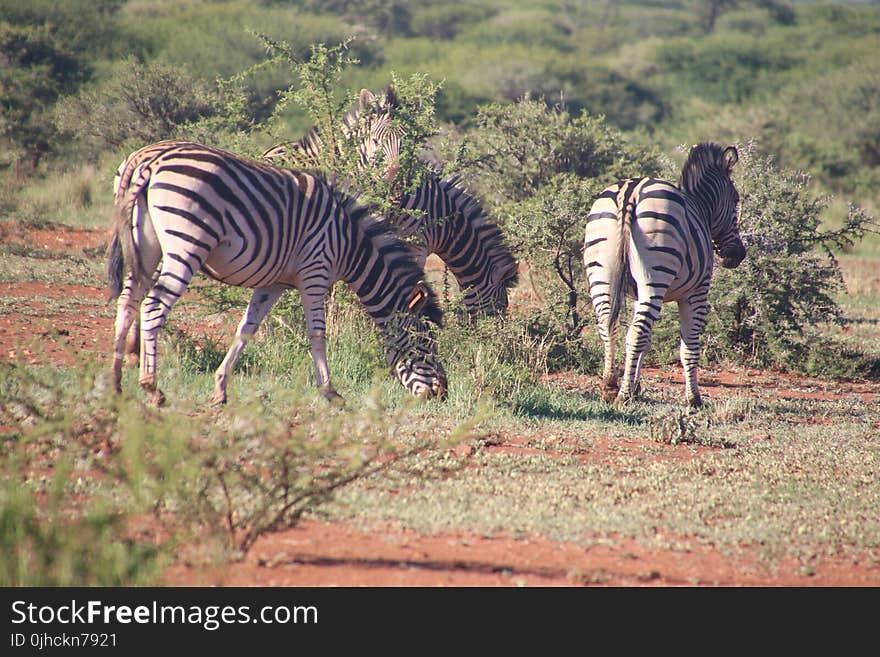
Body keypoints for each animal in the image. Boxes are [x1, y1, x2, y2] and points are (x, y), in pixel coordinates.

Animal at [107, 138, 446, 404]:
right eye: (426, 344)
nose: (442, 393)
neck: (350, 243)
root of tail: (147, 158)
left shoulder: (275, 283)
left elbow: (246, 328)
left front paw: (220, 389)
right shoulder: (315, 272)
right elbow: (317, 333)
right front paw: (330, 393)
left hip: (145, 246)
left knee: (127, 303)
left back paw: (116, 384)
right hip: (186, 245)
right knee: (153, 306)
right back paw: (151, 388)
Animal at [580, 142, 744, 404]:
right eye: (736, 199)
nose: (738, 255)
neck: (701, 208)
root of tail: (630, 192)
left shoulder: (637, 294)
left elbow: (646, 343)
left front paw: (635, 385)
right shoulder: (697, 291)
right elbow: (689, 346)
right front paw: (693, 399)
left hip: (601, 272)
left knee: (608, 325)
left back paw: (610, 385)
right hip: (656, 274)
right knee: (635, 332)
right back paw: (622, 395)